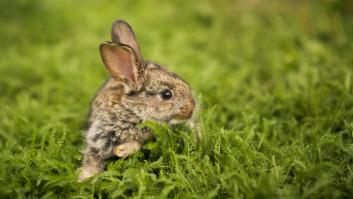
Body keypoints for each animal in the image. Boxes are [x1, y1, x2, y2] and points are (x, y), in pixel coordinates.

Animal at [77, 20, 195, 182]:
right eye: (166, 94)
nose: (192, 108)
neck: (132, 111)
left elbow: (136, 145)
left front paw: (120, 150)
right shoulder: (98, 134)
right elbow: (92, 156)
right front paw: (84, 178)